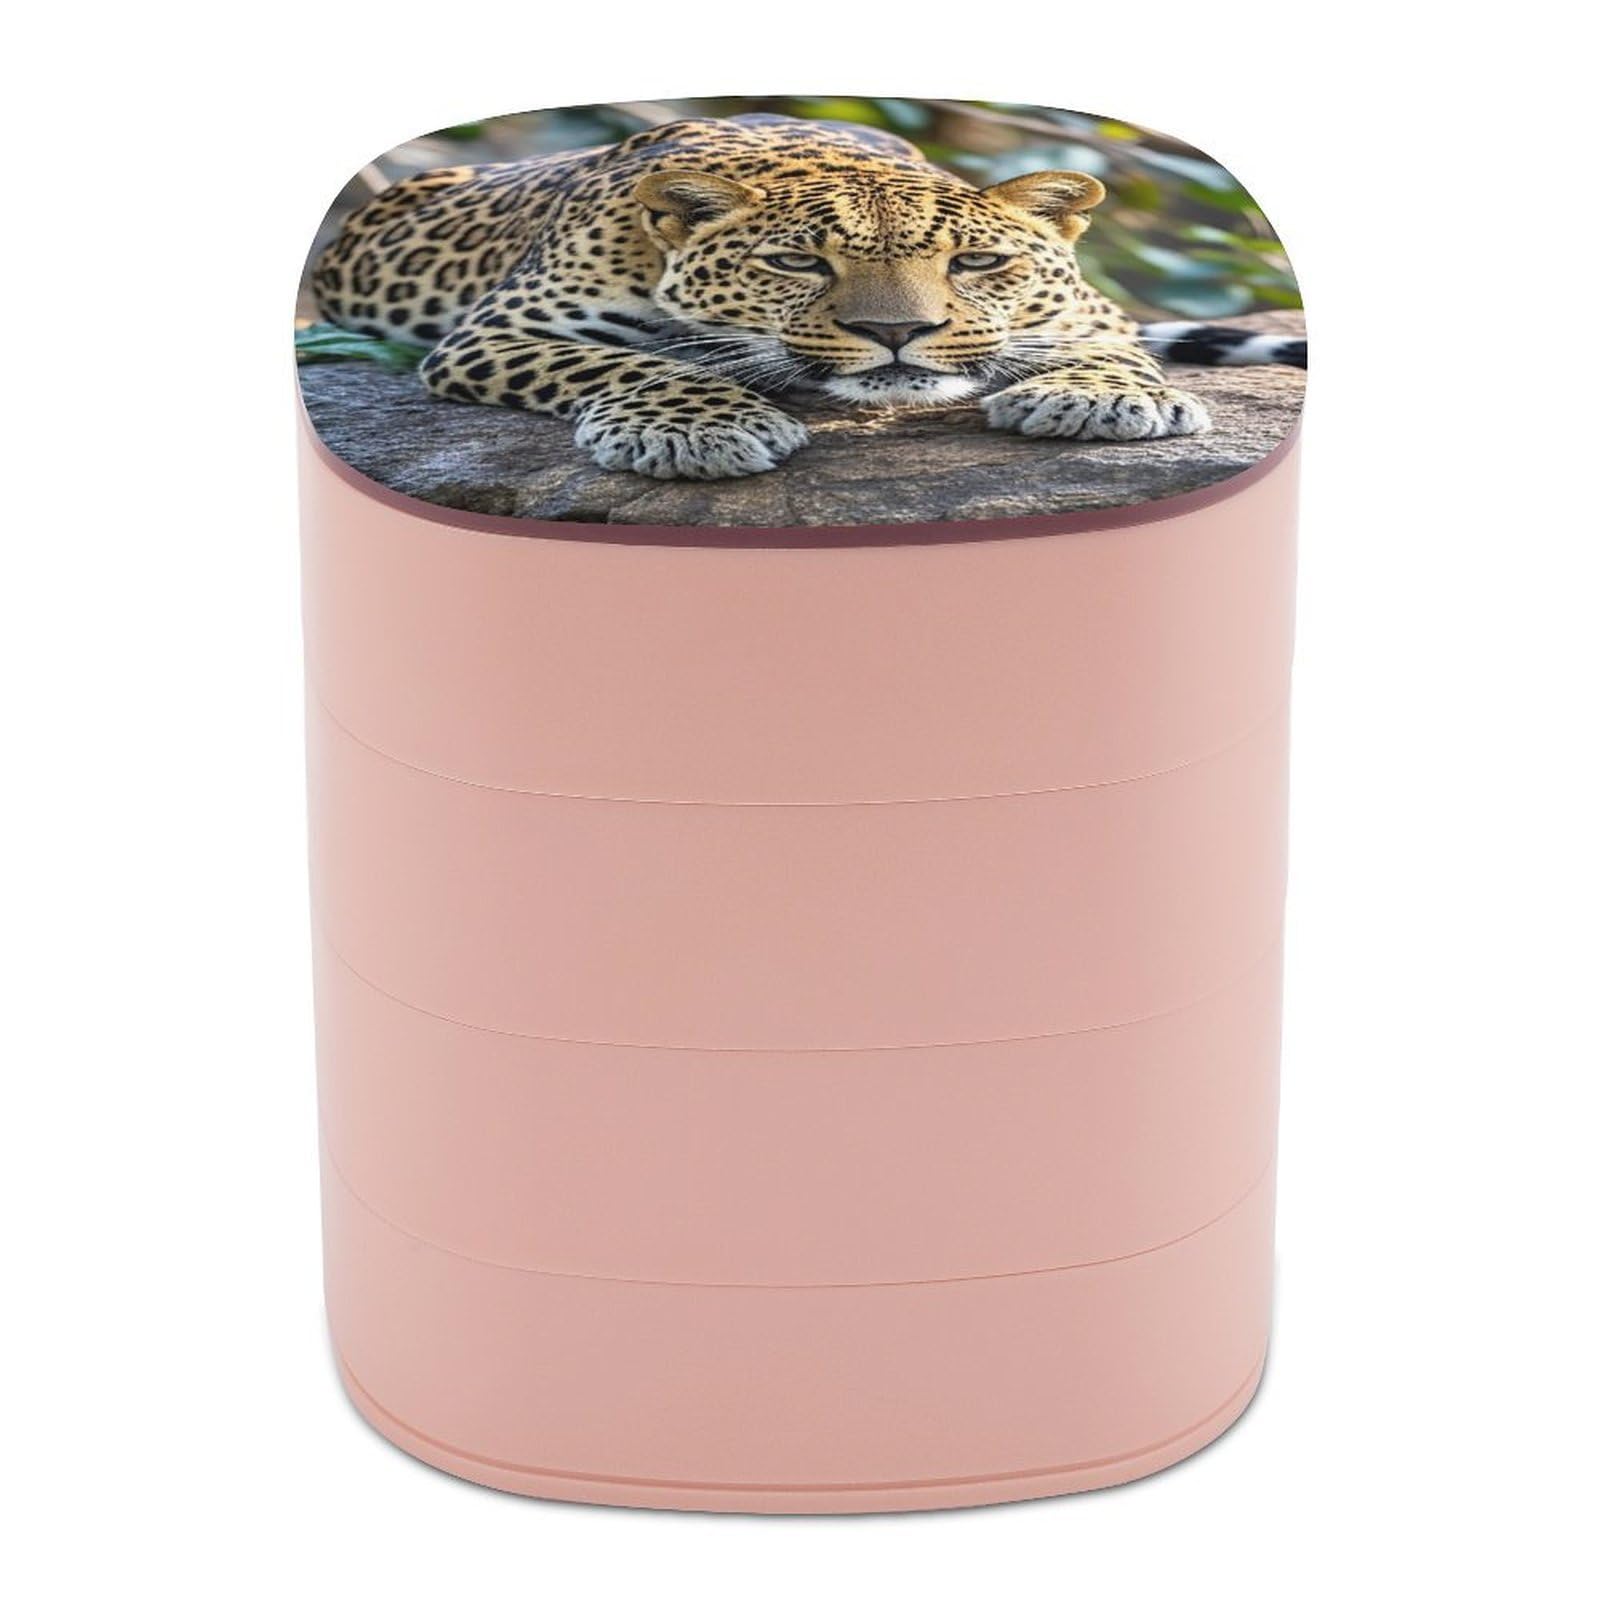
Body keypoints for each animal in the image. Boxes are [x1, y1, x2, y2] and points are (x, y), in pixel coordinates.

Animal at [312, 114, 1303, 481]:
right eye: (797, 263)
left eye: (977, 262)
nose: (897, 332)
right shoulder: (499, 330)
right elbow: (629, 361)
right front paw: (697, 428)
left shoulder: (1091, 310)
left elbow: (1114, 345)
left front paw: (1099, 398)